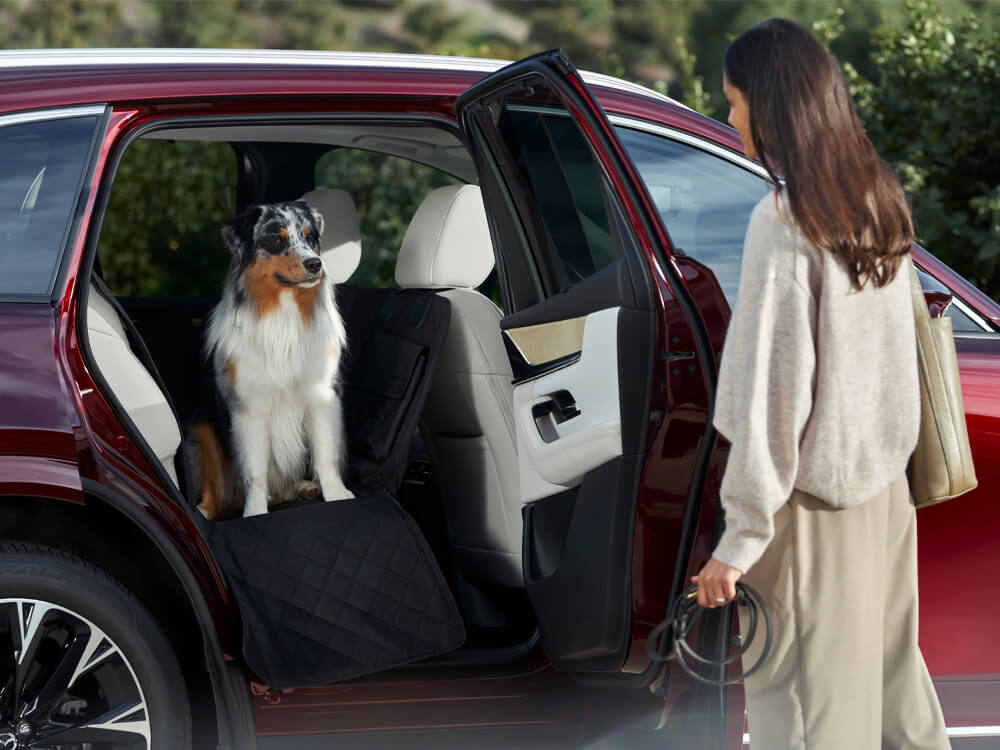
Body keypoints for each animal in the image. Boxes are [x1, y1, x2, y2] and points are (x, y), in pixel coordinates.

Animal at [193, 201, 354, 524]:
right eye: (277, 240)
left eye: (311, 237)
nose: (315, 264)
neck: (285, 311)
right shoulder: (248, 405)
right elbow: (255, 472)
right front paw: (255, 513)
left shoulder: (323, 395)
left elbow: (325, 453)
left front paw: (336, 494)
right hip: (201, 428)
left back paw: (308, 487)